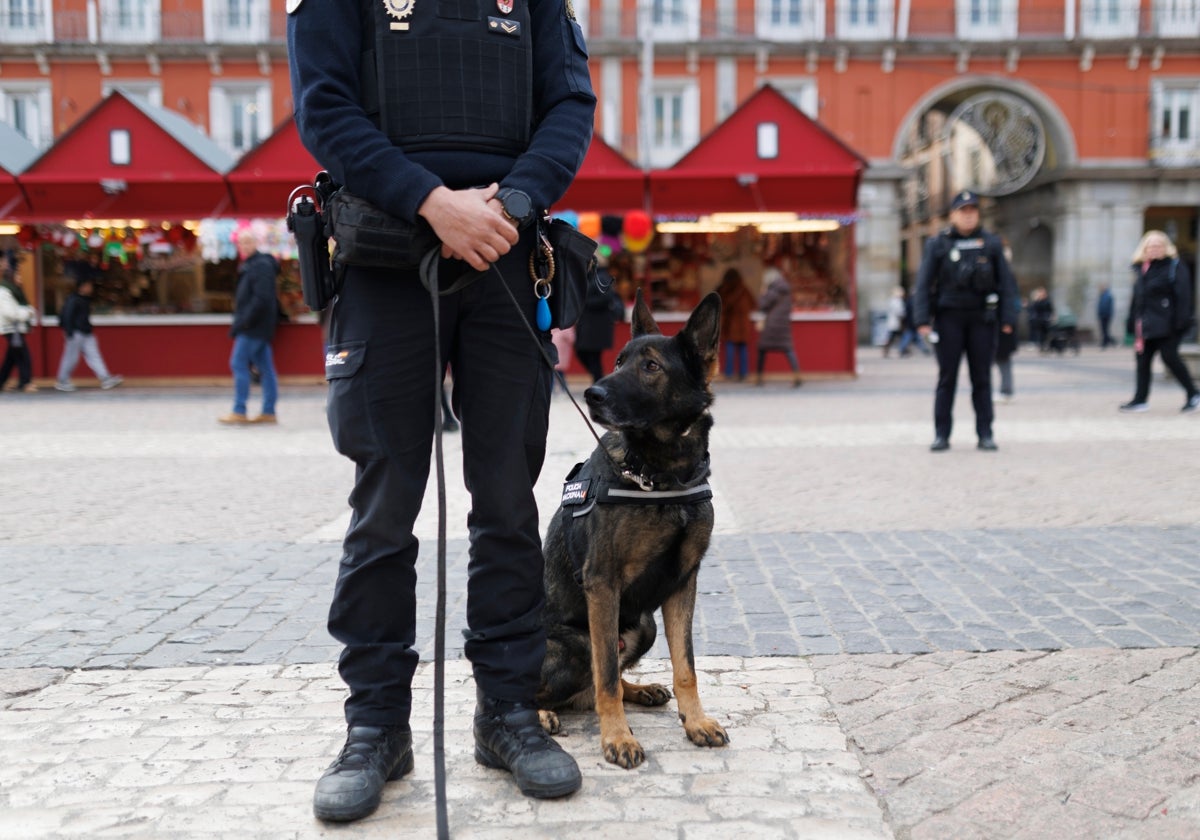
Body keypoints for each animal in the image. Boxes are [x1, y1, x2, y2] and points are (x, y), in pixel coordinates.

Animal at [537, 289, 729, 768]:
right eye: (619, 360)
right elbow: (605, 675)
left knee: (603, 681)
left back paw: (640, 690)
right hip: (575, 643)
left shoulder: (683, 583)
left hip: (643, 626)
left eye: (651, 366)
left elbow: (686, 667)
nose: (592, 393)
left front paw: (695, 721)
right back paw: (543, 713)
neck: (663, 476)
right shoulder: (603, 584)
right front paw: (617, 738)